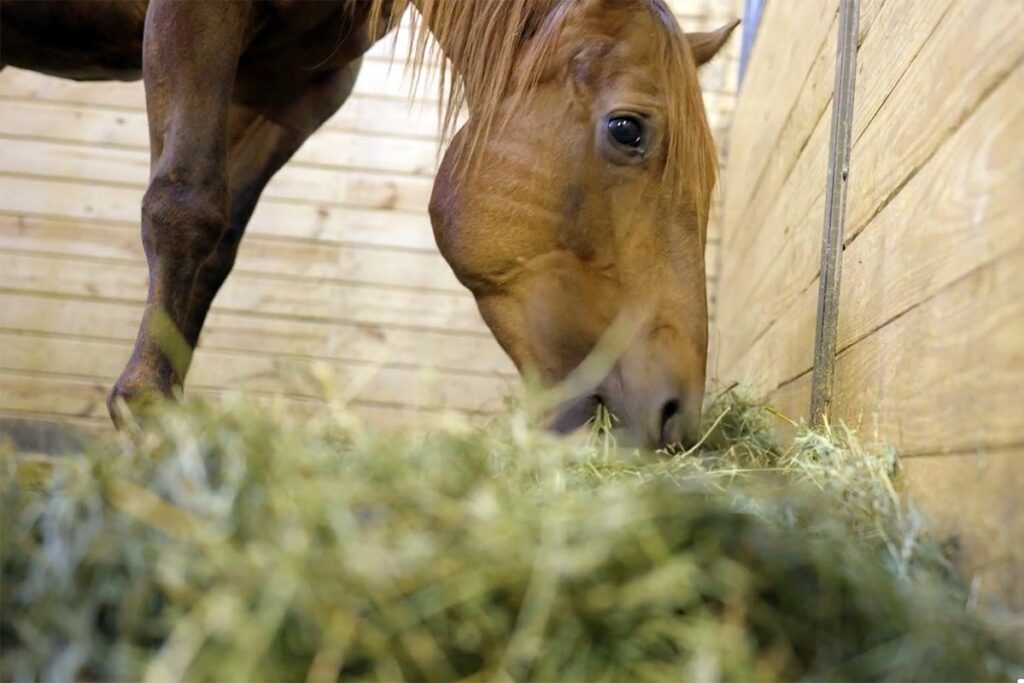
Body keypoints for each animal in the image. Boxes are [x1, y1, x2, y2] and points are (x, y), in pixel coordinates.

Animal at [0, 0, 738, 449]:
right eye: (628, 130)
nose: (678, 414)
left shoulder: (295, 83)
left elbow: (218, 244)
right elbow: (186, 205)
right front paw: (147, 406)